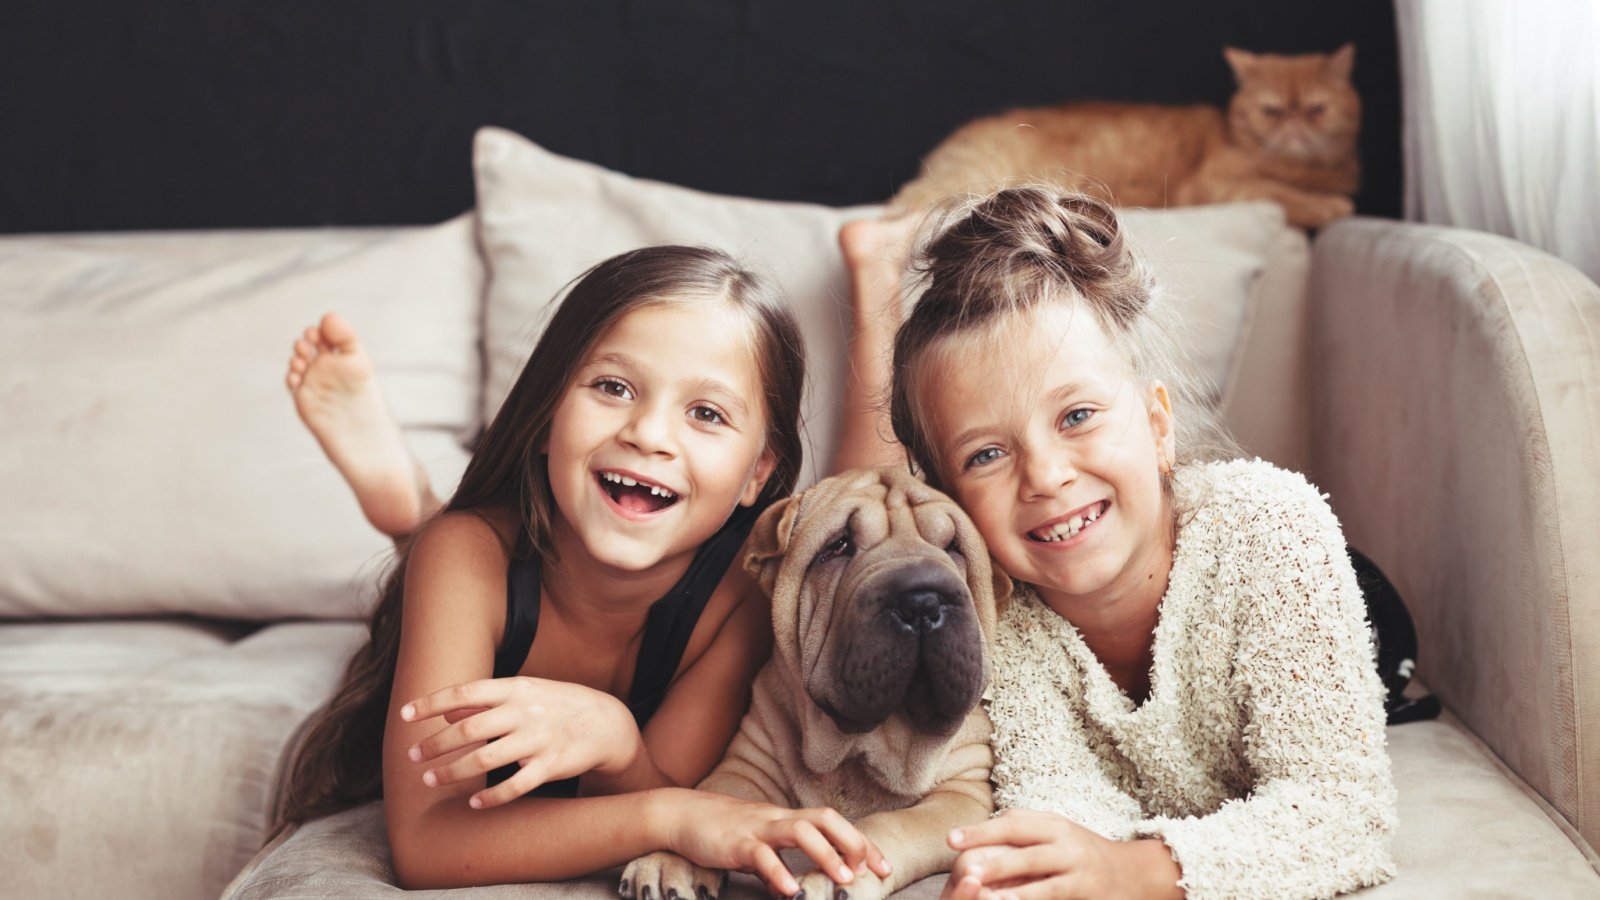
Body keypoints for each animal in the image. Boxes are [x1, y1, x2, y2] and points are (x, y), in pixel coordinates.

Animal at [617, 464, 1004, 896]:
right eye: (837, 547)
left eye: (954, 546)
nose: (922, 601)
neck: (862, 747)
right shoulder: (747, 766)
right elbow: (710, 799)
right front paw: (670, 857)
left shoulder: (965, 795)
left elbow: (893, 824)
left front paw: (838, 874)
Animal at [889, 45, 1363, 227]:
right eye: (1272, 111)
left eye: (1317, 109)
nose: (1295, 124)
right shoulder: (1218, 185)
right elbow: (1285, 194)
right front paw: (1330, 205)